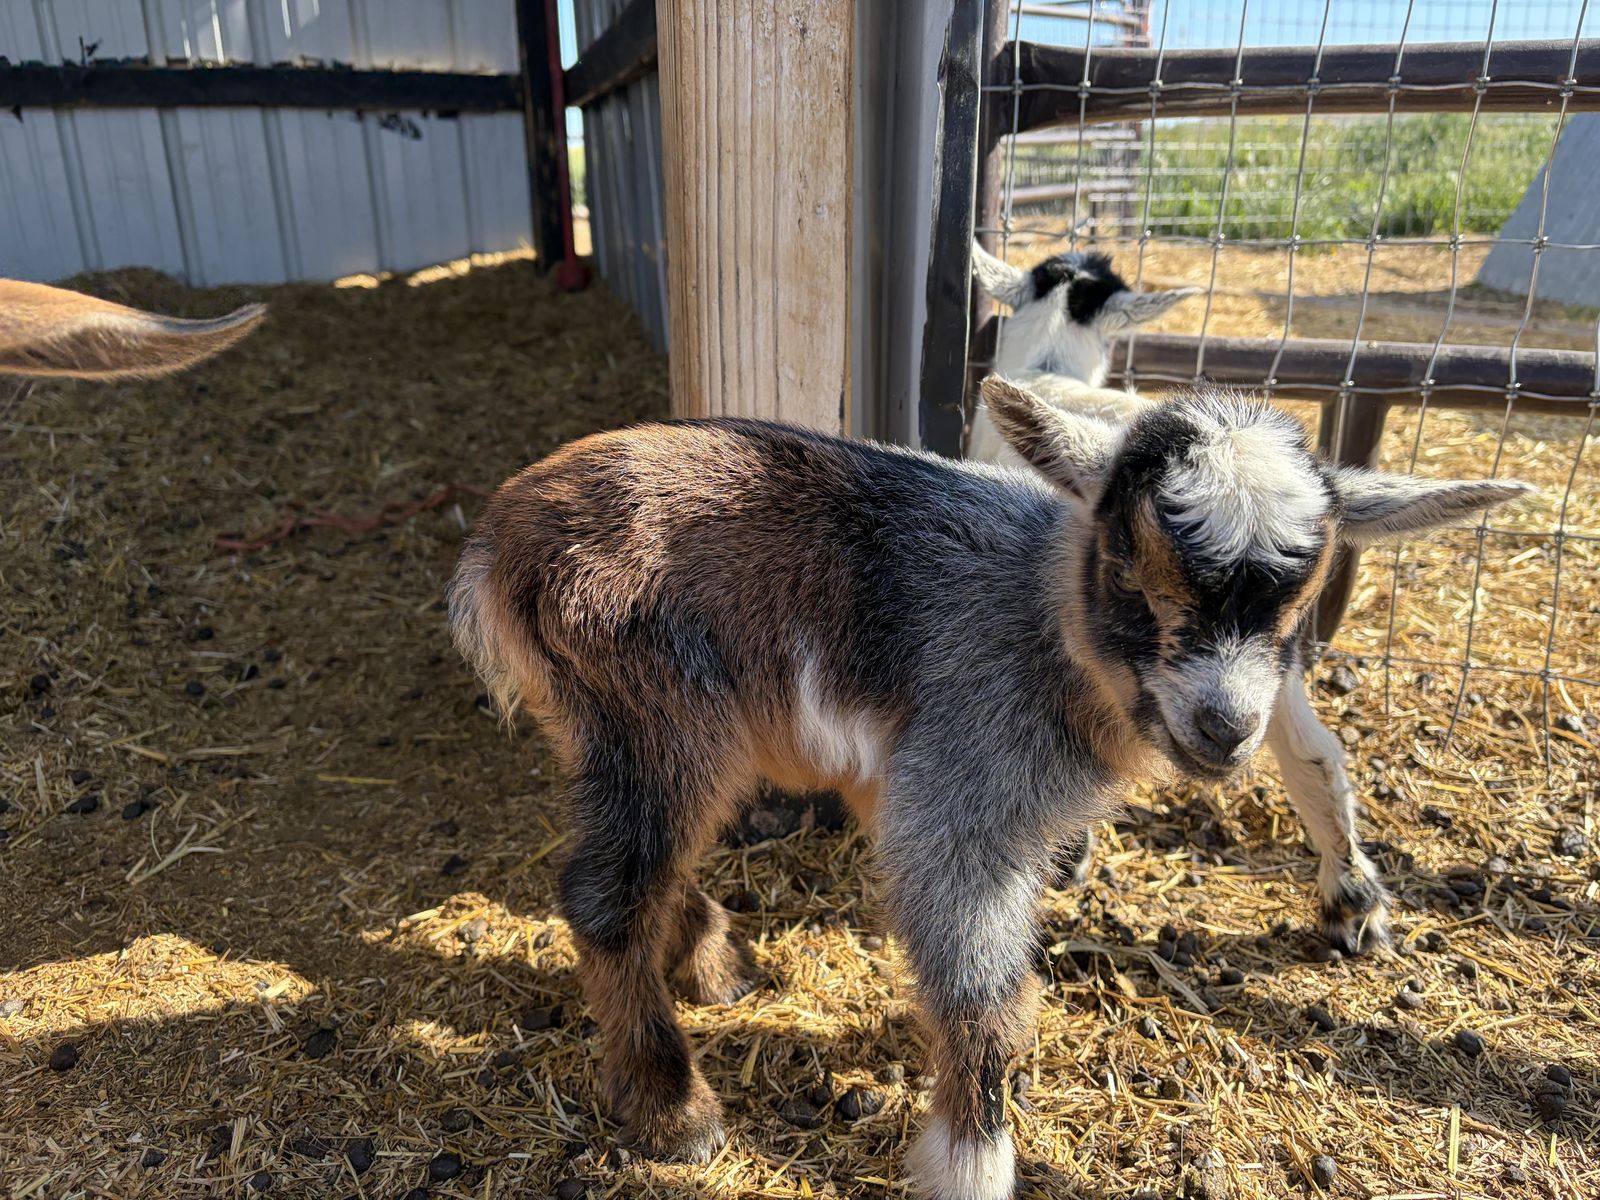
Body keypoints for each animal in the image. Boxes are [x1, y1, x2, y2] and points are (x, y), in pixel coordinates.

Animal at [449, 380, 1529, 1200]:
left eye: (1298, 606)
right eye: (1129, 569)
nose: (1225, 729)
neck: (1045, 617)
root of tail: (497, 542)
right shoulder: (963, 784)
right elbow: (982, 985)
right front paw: (973, 1157)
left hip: (636, 727)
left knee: (653, 863)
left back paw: (716, 964)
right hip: (652, 707)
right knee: (605, 890)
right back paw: (673, 1107)